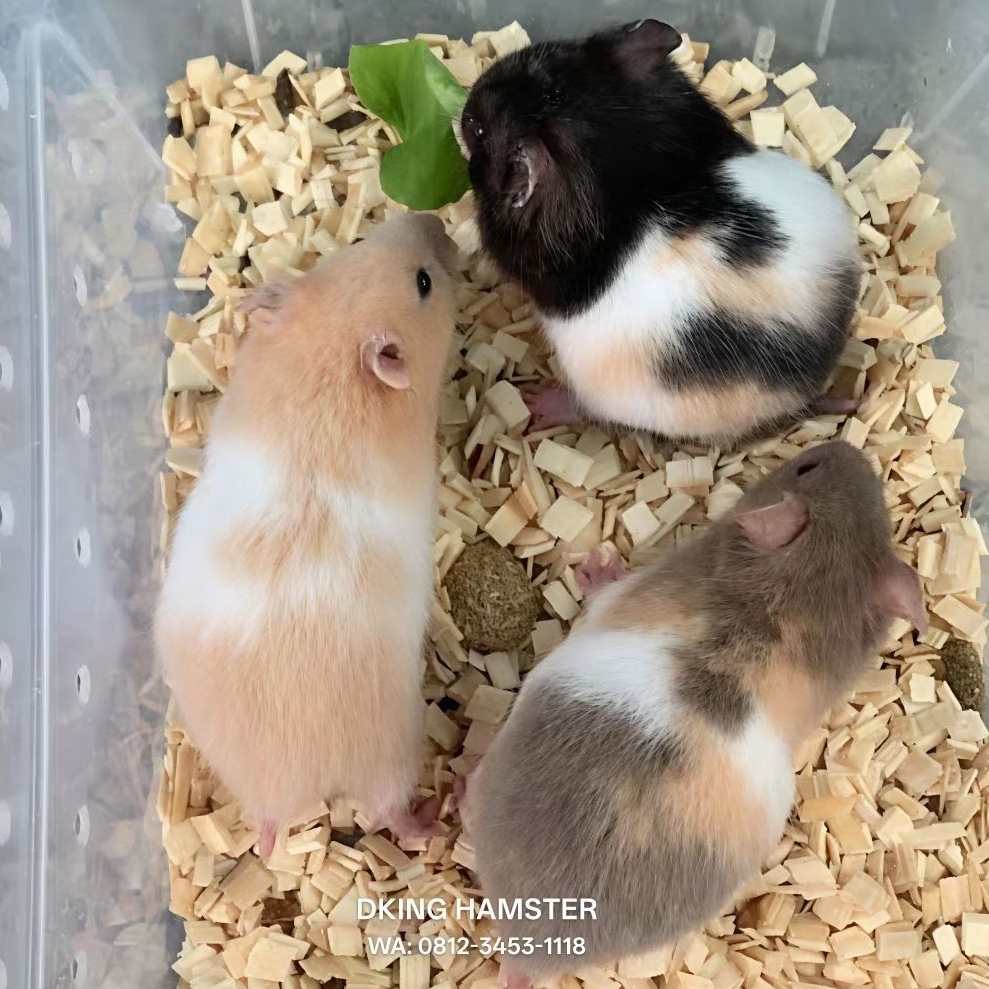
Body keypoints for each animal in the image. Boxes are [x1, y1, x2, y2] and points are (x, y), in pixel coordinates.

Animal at [155, 214, 457, 857]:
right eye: (424, 283)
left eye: (359, 238)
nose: (437, 220)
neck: (334, 351)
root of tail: (294, 785)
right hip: (395, 751)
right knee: (390, 812)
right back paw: (437, 815)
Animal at [458, 20, 862, 447]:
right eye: (527, 65)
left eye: (479, 132)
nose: (467, 106)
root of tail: (803, 390)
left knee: (589, 409)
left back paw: (538, 403)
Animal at [467, 441, 926, 987]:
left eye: (803, 468)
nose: (847, 446)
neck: (795, 601)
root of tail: (531, 952)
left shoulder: (629, 590)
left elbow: (603, 591)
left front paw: (596, 565)